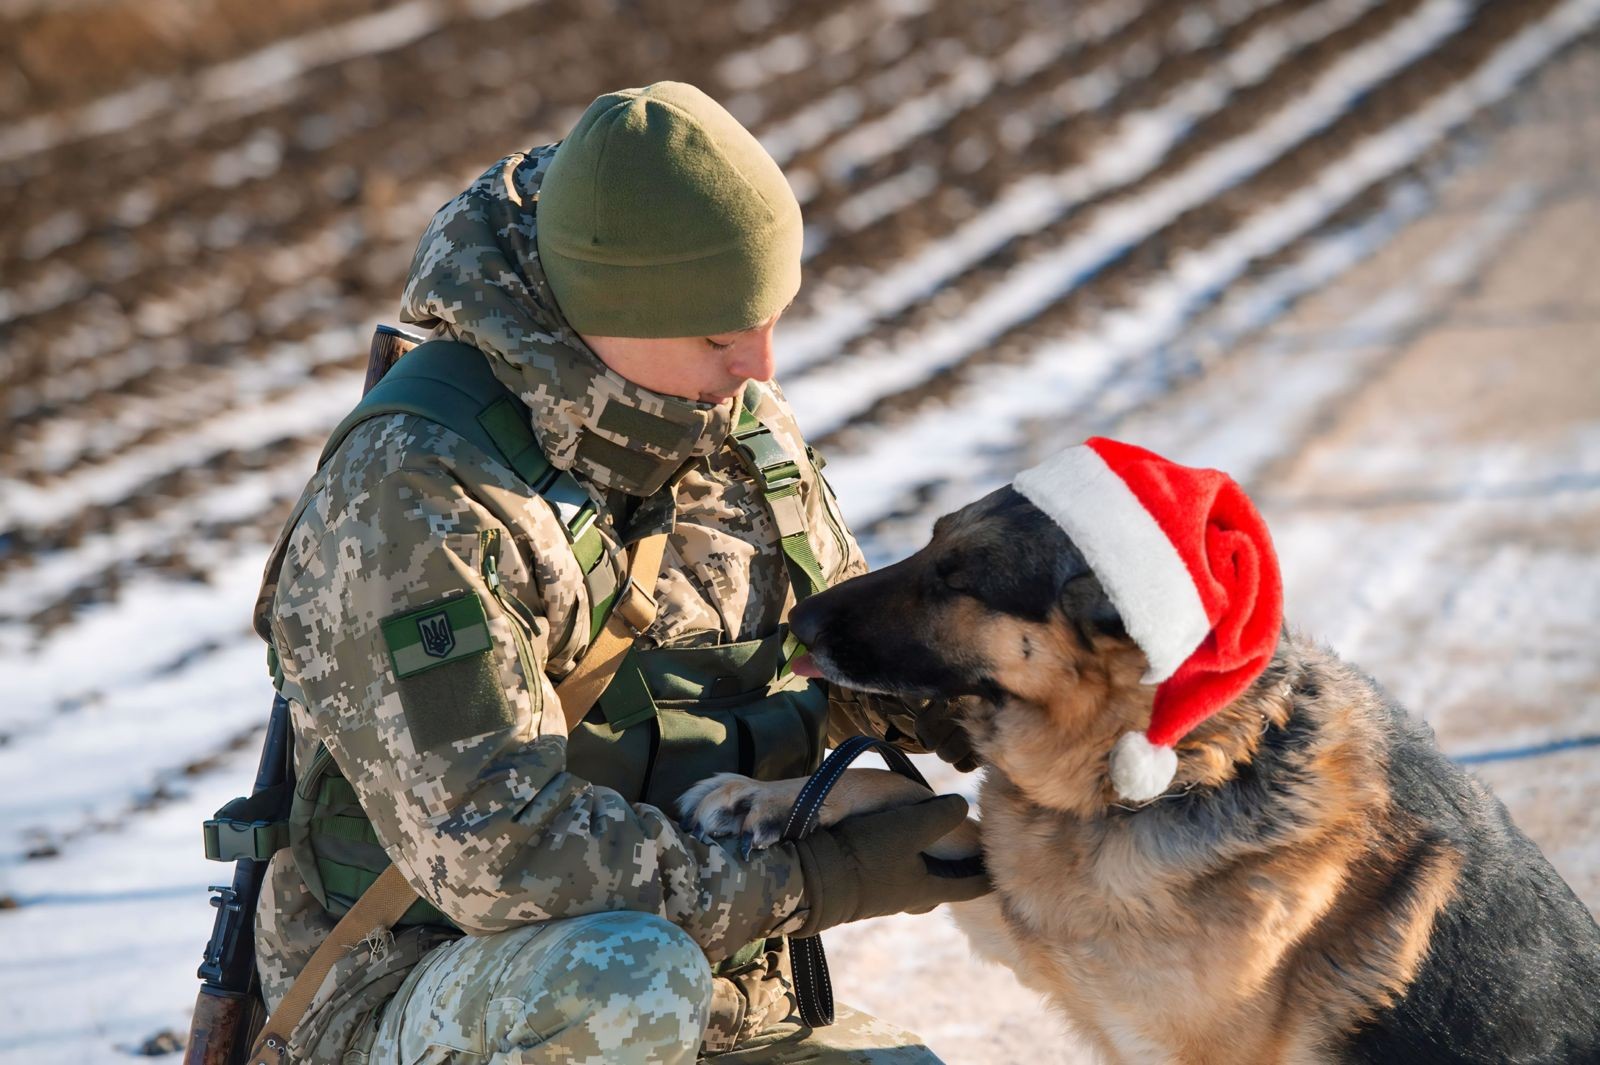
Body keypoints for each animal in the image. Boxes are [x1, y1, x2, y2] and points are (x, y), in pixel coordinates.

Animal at [681, 486, 1600, 1055]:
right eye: (933, 540)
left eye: (957, 579)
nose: (800, 620)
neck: (1177, 776)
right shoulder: (1038, 921)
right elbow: (915, 795)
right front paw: (762, 798)